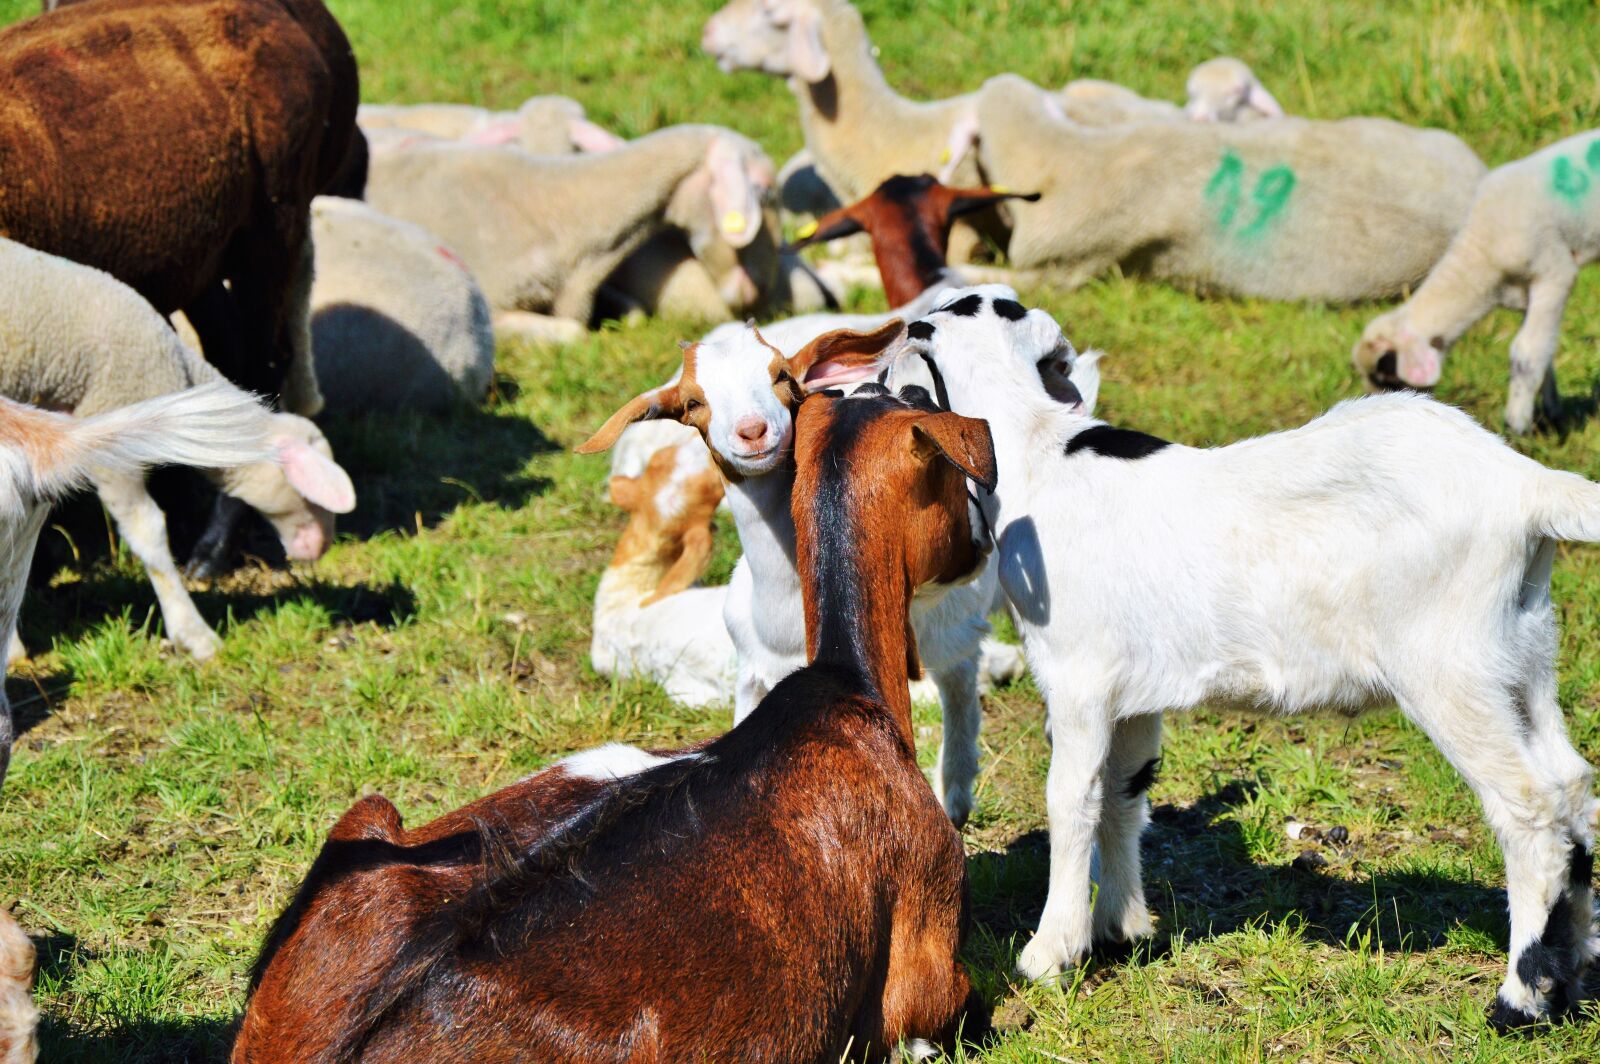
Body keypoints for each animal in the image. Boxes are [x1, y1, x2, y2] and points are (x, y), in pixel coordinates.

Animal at [888, 283, 1600, 1031]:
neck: (1038, 454)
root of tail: (1526, 488)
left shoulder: (1078, 679)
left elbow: (1072, 799)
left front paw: (1051, 953)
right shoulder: (1132, 695)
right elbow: (1124, 795)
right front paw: (1123, 932)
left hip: (1450, 668)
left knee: (1529, 808)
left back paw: (1521, 998)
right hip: (1522, 654)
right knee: (1572, 785)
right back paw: (1572, 970)